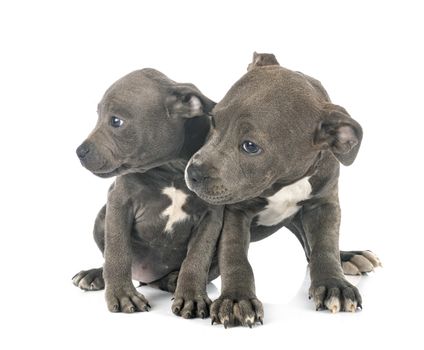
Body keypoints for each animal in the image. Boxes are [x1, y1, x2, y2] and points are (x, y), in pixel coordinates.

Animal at [72, 67, 225, 318]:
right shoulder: (119, 203)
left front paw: (192, 296)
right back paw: (94, 275)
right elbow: (117, 252)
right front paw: (123, 294)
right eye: (97, 116)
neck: (171, 170)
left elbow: (197, 257)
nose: (79, 151)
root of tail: (148, 278)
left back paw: (173, 280)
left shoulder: (212, 216)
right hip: (101, 218)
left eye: (116, 121)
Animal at [186, 53, 380, 326]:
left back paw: (348, 256)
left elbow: (325, 244)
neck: (283, 183)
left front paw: (334, 284)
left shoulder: (324, 204)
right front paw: (236, 298)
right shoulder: (235, 211)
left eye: (250, 146)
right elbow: (234, 254)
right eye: (213, 120)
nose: (193, 172)